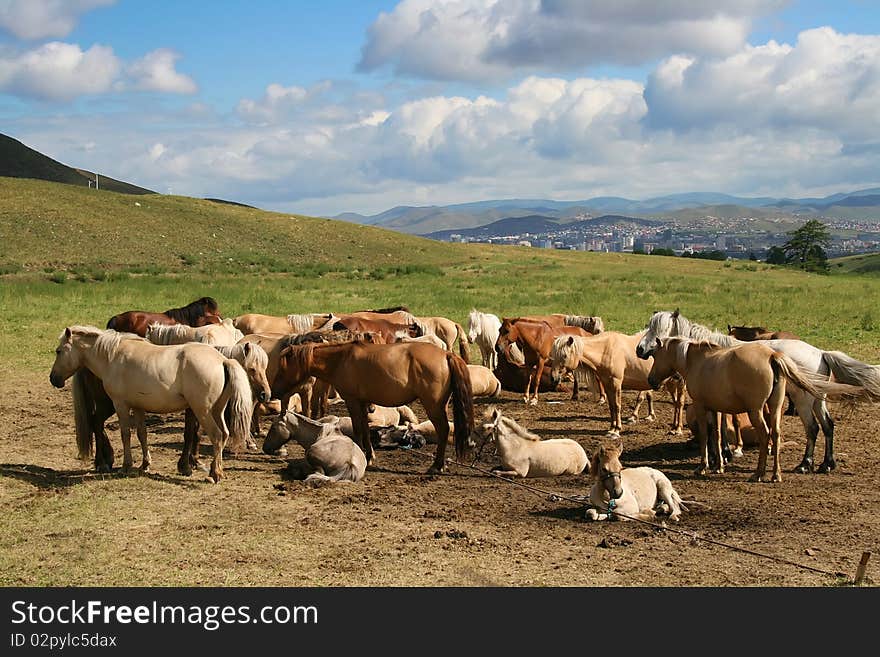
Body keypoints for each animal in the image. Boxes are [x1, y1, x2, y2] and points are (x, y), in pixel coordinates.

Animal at [50, 326, 253, 482]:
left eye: (59, 351)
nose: (53, 379)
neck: (112, 356)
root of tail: (223, 360)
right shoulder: (138, 406)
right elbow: (142, 434)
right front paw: (144, 464)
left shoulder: (121, 404)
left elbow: (125, 434)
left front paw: (127, 466)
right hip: (217, 410)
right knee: (224, 434)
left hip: (203, 411)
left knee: (217, 436)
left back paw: (214, 474)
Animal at [274, 338, 474, 472]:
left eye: (283, 368)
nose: (275, 392)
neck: (341, 360)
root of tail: (446, 354)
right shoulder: (362, 403)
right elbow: (364, 429)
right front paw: (369, 456)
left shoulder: (353, 401)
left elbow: (357, 429)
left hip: (433, 406)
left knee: (443, 430)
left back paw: (436, 466)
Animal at [552, 334, 688, 436]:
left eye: (564, 355)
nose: (554, 377)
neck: (606, 350)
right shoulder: (607, 384)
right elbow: (612, 406)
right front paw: (612, 428)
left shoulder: (616, 383)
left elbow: (617, 406)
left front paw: (617, 430)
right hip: (670, 383)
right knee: (676, 404)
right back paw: (673, 428)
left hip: (680, 383)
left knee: (680, 404)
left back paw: (678, 429)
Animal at [636, 310, 880, 474]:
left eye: (657, 331)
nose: (640, 349)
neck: (706, 355)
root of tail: (821, 353)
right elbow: (721, 426)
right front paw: (721, 456)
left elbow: (720, 427)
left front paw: (722, 455)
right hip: (817, 400)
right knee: (828, 426)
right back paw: (827, 464)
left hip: (802, 400)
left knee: (812, 429)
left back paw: (804, 464)